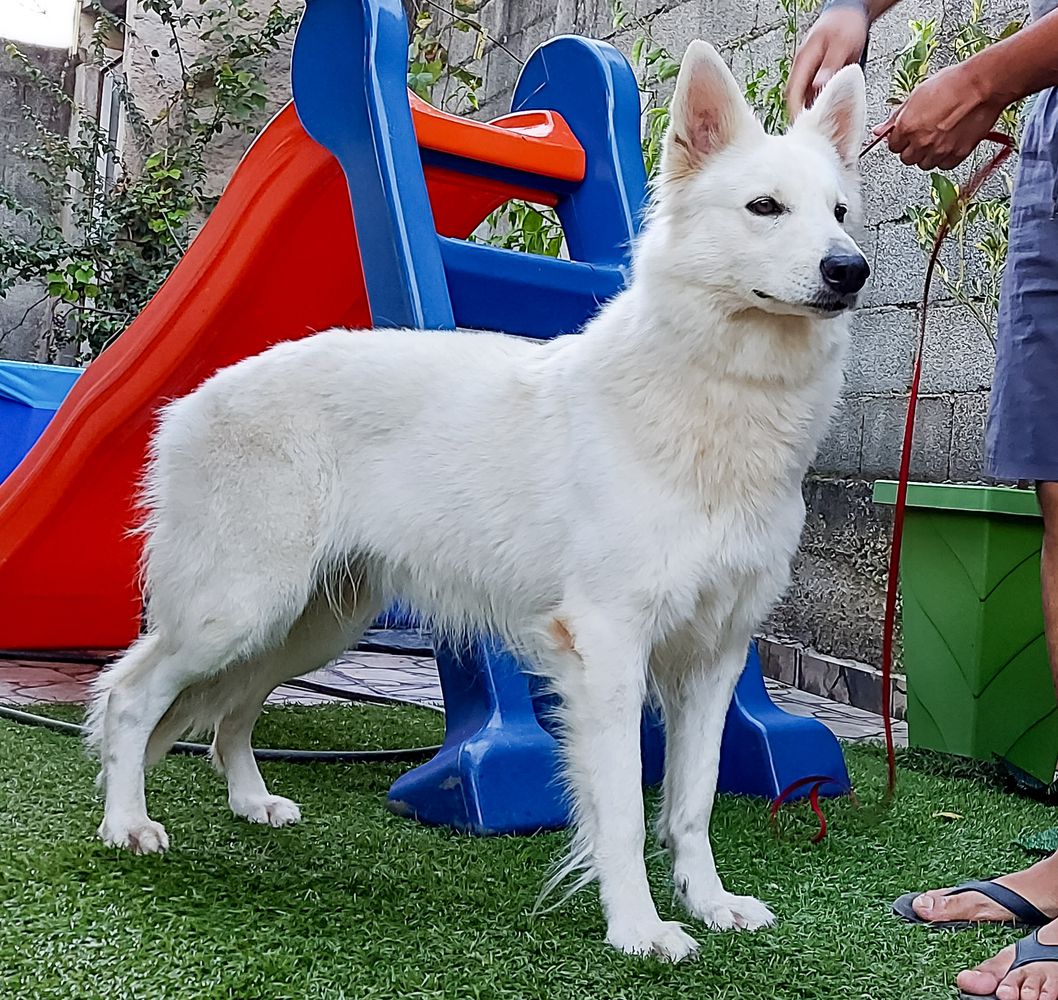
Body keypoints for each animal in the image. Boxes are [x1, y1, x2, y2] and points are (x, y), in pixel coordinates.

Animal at [88, 44, 867, 960]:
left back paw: (250, 801)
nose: (850, 270)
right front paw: (638, 928)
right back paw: (127, 824)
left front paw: (708, 903)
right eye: (765, 208)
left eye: (841, 212)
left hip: (309, 624)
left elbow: (694, 801)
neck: (715, 400)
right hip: (237, 610)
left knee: (232, 711)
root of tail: (191, 399)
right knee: (133, 695)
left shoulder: (714, 656)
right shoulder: (607, 649)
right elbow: (623, 810)